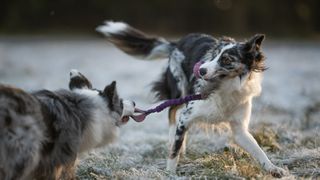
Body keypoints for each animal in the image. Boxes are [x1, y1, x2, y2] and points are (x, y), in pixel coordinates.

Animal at [97, 21, 288, 177]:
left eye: (226, 60)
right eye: (214, 55)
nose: (201, 70)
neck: (224, 88)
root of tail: (178, 42)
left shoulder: (239, 129)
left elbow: (257, 149)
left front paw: (273, 169)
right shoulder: (187, 115)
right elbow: (174, 152)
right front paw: (170, 173)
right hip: (179, 91)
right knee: (172, 113)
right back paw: (173, 137)